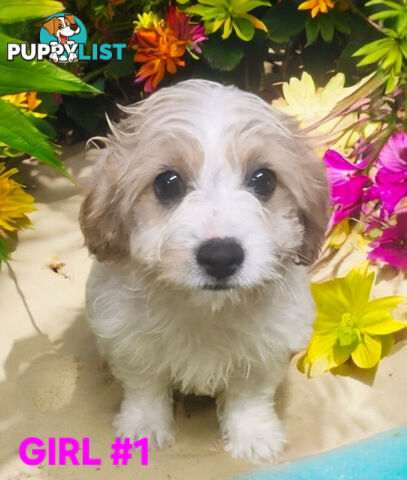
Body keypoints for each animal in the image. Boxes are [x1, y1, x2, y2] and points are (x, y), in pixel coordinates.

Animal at [80, 79, 332, 462]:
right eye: (167, 182)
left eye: (264, 180)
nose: (221, 256)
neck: (205, 310)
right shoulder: (128, 339)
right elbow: (144, 385)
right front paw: (143, 426)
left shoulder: (267, 346)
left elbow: (250, 395)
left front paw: (253, 434)